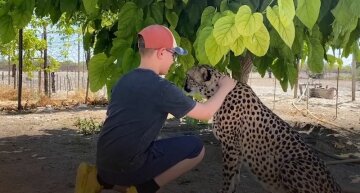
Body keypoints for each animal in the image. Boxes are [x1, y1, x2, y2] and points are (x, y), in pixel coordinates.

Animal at [184, 65, 342, 193]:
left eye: (189, 77)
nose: (184, 87)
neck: (217, 91)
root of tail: (335, 185)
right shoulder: (237, 148)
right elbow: (235, 175)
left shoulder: (230, 145)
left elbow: (228, 176)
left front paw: (225, 190)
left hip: (289, 165)